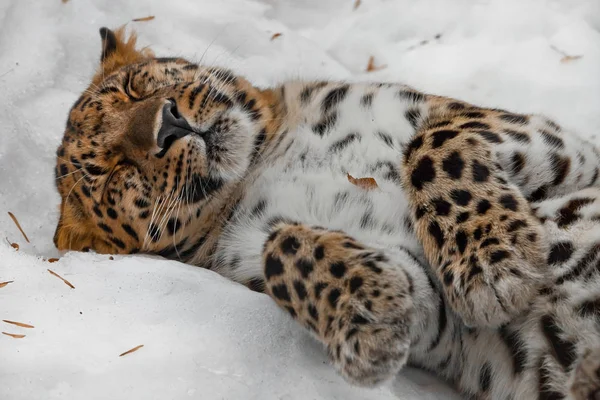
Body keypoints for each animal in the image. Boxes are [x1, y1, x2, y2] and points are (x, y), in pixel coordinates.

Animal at [52, 26, 600, 398]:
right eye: (112, 170)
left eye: (137, 87)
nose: (168, 125)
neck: (266, 157)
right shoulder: (437, 316)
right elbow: (282, 248)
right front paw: (368, 325)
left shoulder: (559, 143)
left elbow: (432, 143)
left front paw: (492, 265)